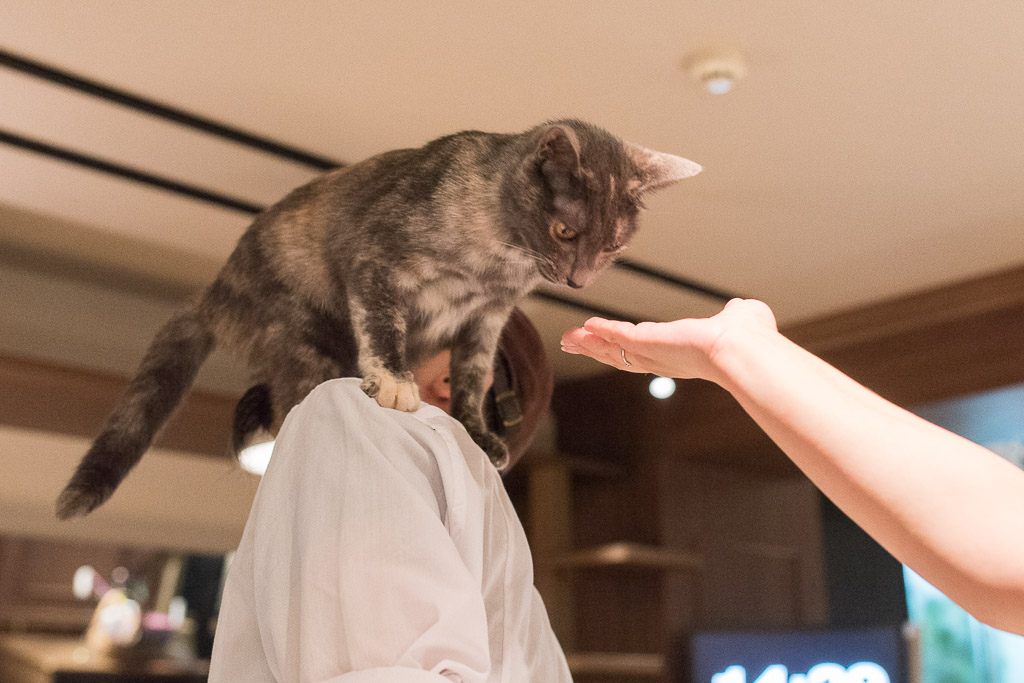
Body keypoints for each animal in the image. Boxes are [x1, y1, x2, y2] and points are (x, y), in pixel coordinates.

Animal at [51, 120, 700, 520]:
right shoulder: (377, 263)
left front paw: (477, 430)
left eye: (611, 245)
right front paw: (393, 383)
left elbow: (474, 376)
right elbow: (382, 326)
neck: (496, 263)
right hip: (300, 330)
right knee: (293, 400)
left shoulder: (487, 319)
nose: (578, 281)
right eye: (565, 230)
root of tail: (216, 290)